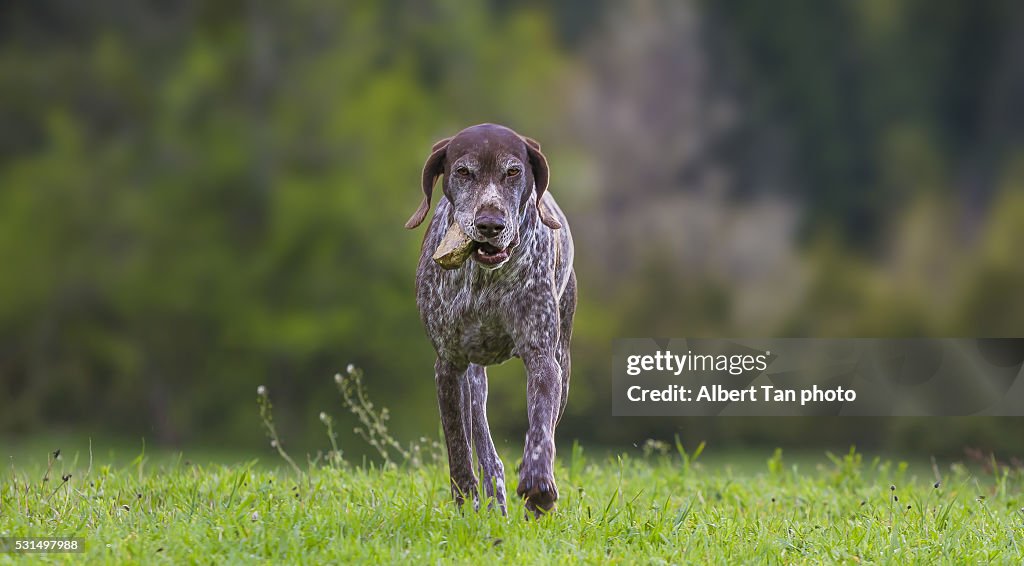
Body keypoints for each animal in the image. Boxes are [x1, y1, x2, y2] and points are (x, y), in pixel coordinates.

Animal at [403, 123, 573, 515]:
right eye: (464, 172)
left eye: (513, 171)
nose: (490, 224)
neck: (485, 279)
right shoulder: (449, 367)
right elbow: (458, 446)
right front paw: (466, 501)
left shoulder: (543, 358)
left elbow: (540, 428)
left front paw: (538, 484)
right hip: (474, 380)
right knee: (483, 444)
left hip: (563, 362)